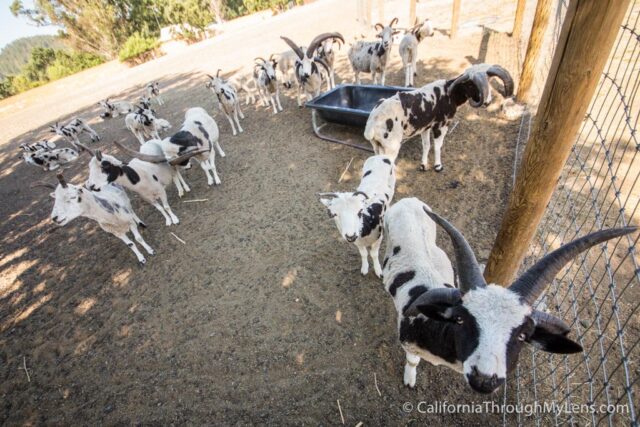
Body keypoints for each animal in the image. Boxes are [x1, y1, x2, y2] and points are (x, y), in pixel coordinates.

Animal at [364, 63, 516, 171]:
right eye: (471, 85)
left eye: (489, 81)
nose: (487, 102)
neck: (450, 94)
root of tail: (372, 123)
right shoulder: (442, 125)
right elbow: (438, 146)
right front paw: (438, 166)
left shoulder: (425, 127)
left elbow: (426, 145)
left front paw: (423, 165)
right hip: (391, 146)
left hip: (377, 146)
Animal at [380, 197, 636, 394]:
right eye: (461, 319)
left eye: (523, 335)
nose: (484, 380)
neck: (435, 328)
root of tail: (410, 200)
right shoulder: (409, 343)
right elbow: (412, 361)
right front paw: (410, 379)